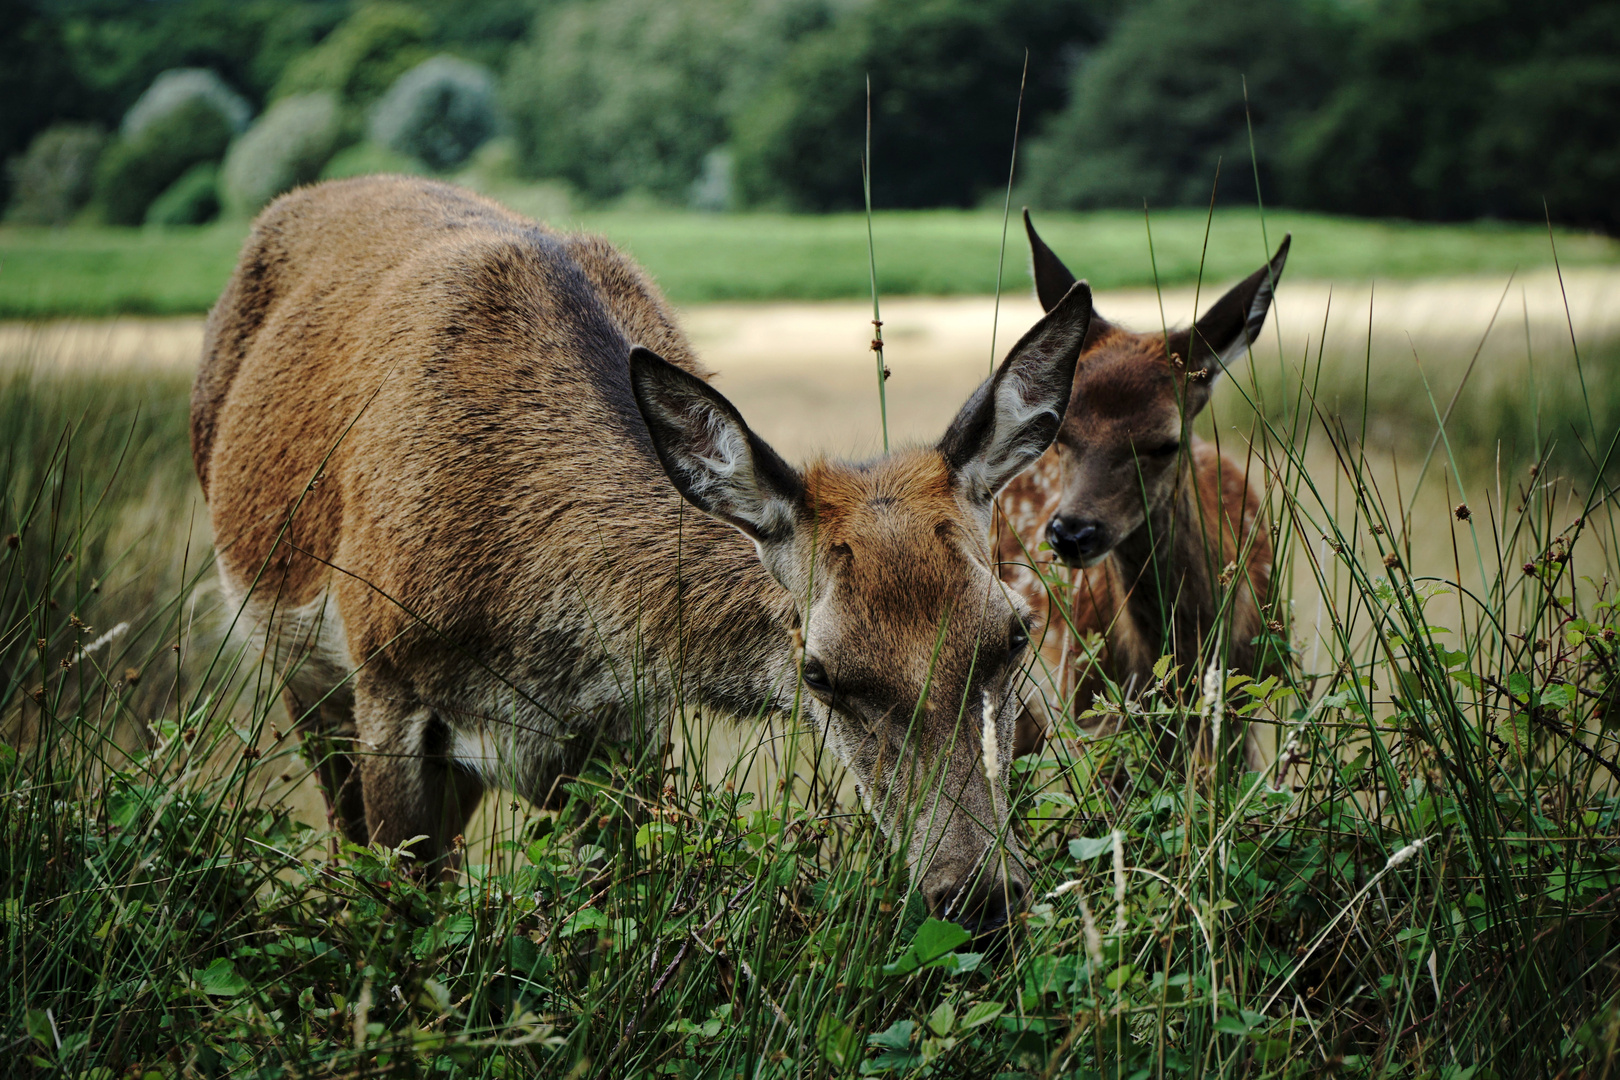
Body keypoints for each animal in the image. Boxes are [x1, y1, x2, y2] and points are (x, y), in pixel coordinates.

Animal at [196, 175, 1095, 932]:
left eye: (1012, 633)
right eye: (821, 672)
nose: (980, 895)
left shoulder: (626, 727)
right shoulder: (386, 678)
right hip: (299, 670)